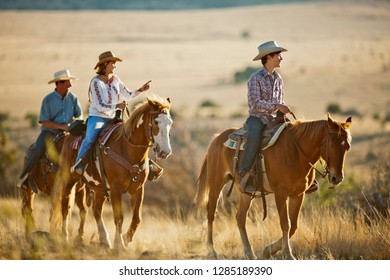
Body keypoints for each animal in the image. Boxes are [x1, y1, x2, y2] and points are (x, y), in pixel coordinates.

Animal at [49, 97, 171, 250]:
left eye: (170, 123)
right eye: (156, 122)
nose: (165, 152)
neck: (127, 148)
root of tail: (67, 136)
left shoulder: (137, 189)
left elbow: (137, 218)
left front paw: (126, 239)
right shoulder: (115, 189)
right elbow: (119, 217)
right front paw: (120, 244)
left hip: (100, 187)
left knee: (96, 209)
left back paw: (104, 240)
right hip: (69, 180)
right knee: (65, 206)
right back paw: (64, 236)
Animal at [197, 114, 352, 260]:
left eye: (347, 147)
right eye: (332, 145)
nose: (337, 177)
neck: (296, 152)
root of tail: (217, 139)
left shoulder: (298, 194)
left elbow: (293, 225)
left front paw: (268, 250)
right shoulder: (280, 193)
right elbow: (285, 223)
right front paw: (288, 254)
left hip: (245, 192)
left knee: (240, 218)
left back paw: (249, 252)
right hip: (216, 183)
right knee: (211, 212)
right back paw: (212, 251)